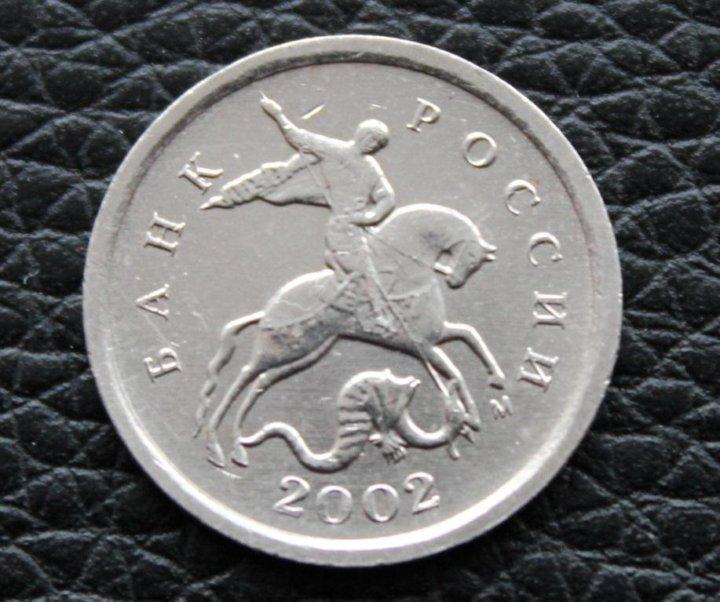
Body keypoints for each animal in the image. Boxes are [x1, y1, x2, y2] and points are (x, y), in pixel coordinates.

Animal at [196, 203, 505, 468]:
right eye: (472, 256)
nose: (455, 281)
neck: (408, 271)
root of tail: (269, 309)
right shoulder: (423, 344)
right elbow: (456, 371)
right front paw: (473, 416)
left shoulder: (435, 335)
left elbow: (470, 336)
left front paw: (494, 384)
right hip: (279, 350)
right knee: (243, 377)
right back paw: (215, 445)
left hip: (308, 351)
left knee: (260, 382)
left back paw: (237, 446)